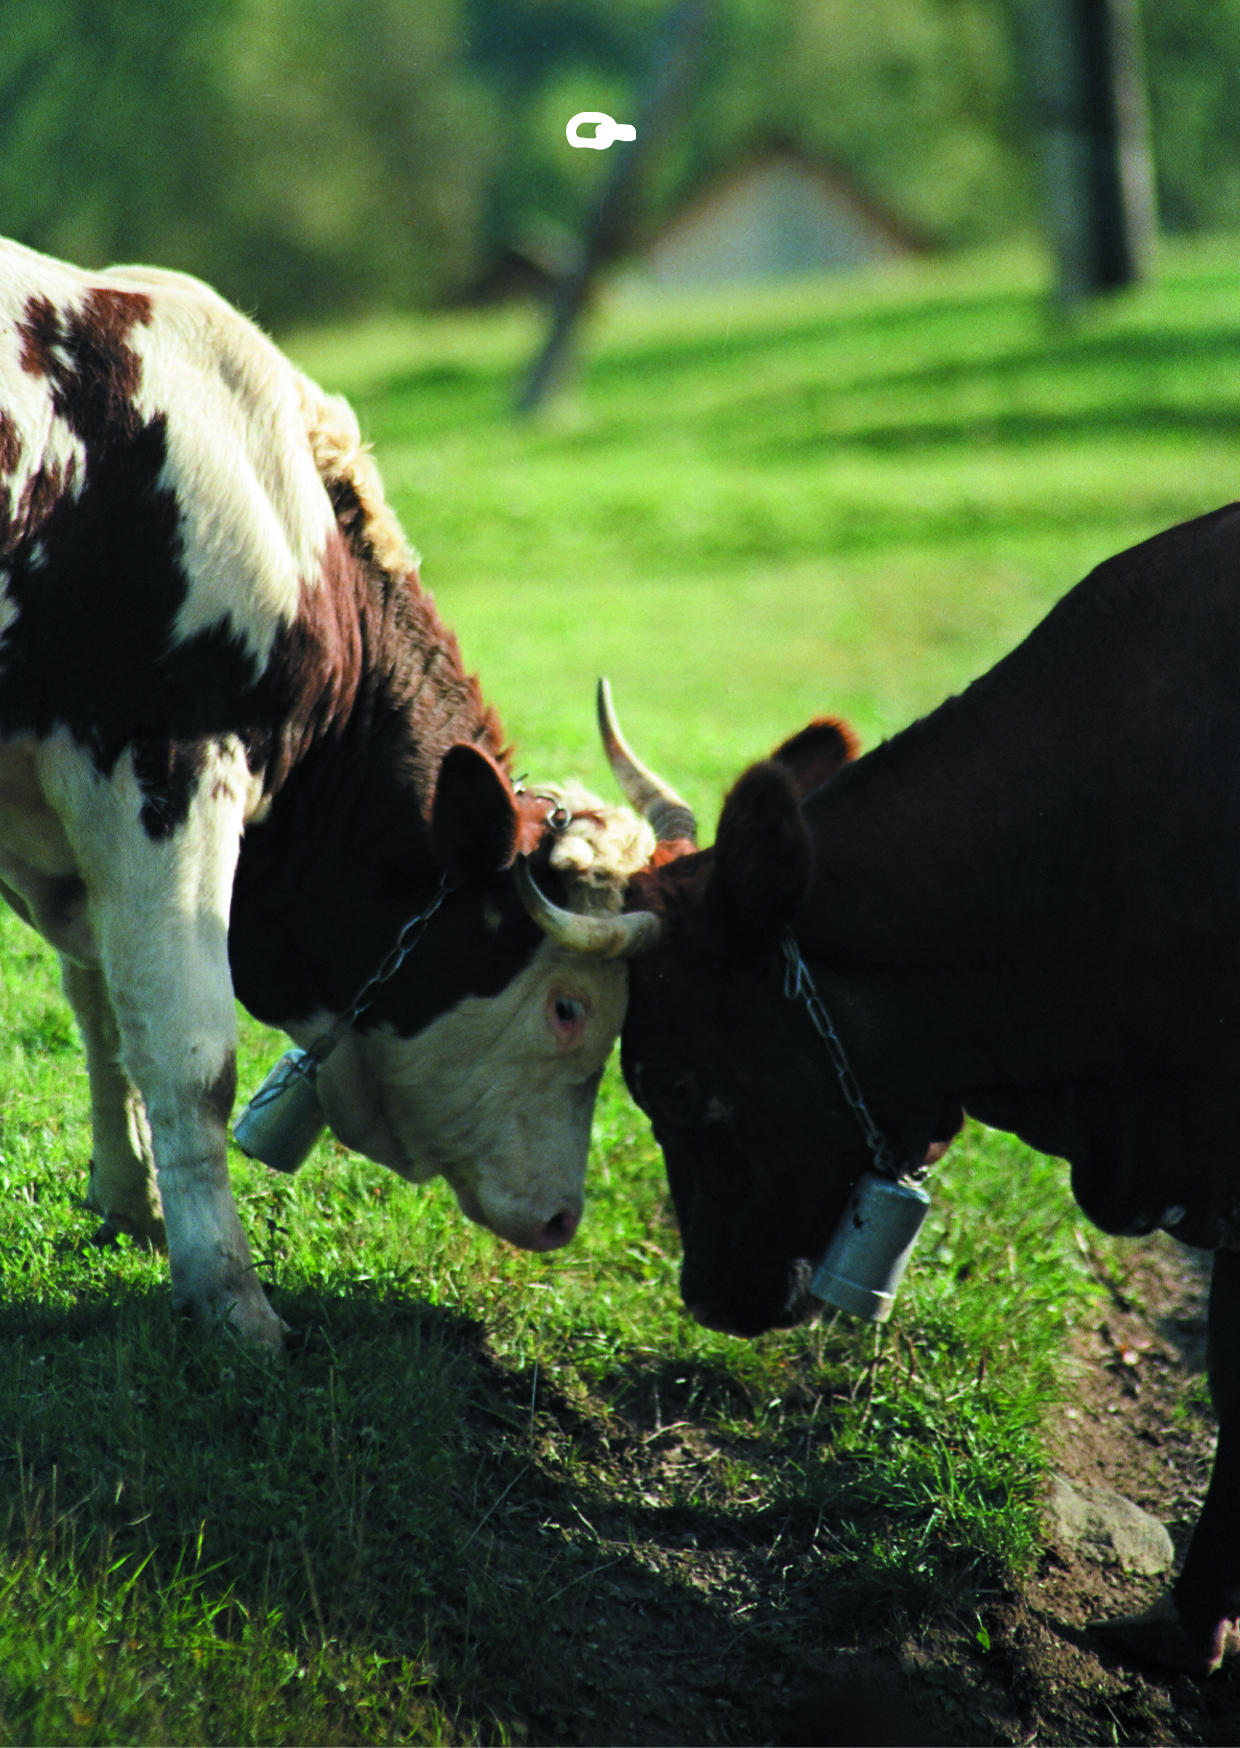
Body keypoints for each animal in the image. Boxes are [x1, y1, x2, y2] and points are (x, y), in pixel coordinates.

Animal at [0, 236, 678, 1352]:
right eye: (571, 1008)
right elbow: (187, 1049)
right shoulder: (164, 762)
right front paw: (229, 1297)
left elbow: (101, 1010)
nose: (562, 1218)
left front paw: (131, 1199)